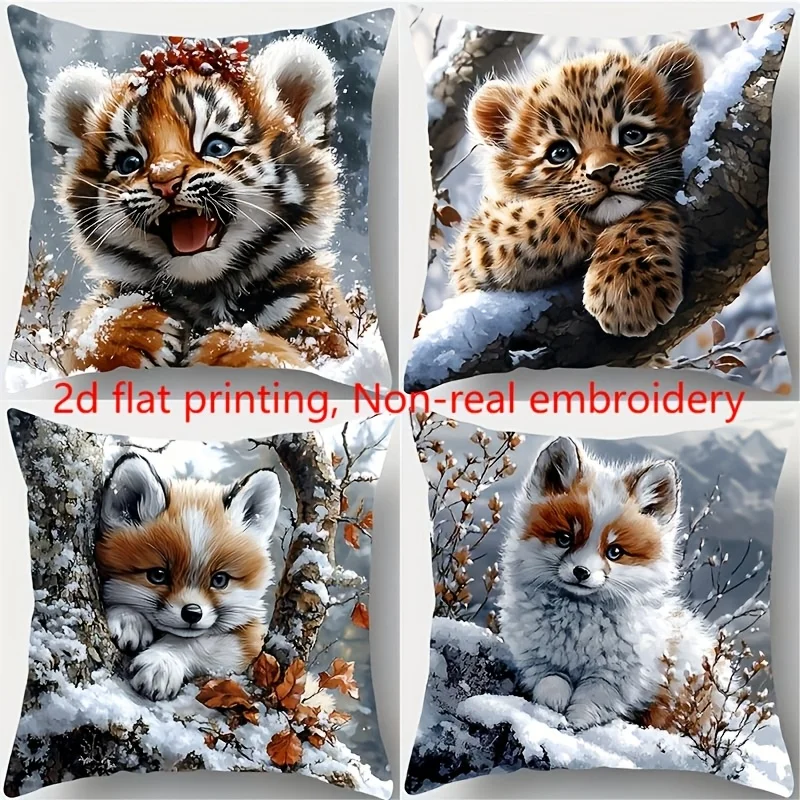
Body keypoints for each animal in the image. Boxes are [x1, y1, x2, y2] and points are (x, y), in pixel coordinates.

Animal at [43, 35, 348, 370]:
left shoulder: (326, 329)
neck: (206, 295)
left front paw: (226, 350)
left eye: (216, 147)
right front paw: (131, 331)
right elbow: (82, 341)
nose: (165, 180)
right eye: (130, 163)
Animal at [96, 453, 280, 701]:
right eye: (158, 575)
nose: (192, 613)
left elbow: (192, 643)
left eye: (219, 580)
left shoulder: (248, 641)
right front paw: (129, 618)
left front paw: (161, 663)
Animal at [449, 42, 704, 337]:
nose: (603, 172)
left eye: (633, 135)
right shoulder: (469, 254)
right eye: (559, 153)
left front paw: (627, 288)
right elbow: (523, 222)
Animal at [499, 436, 721, 732]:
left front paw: (574, 722)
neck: (578, 631)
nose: (581, 572)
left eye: (614, 552)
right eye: (564, 539)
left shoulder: (612, 678)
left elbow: (589, 703)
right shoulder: (539, 662)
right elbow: (552, 683)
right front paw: (554, 707)